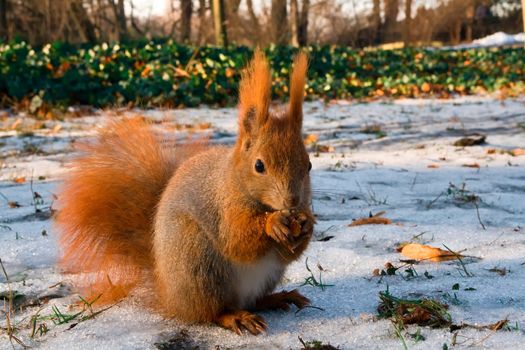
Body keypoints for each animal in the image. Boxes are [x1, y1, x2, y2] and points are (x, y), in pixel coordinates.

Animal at [55, 50, 314, 334]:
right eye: (259, 166)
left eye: (309, 165)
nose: (293, 200)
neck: (235, 180)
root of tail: (167, 293)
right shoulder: (222, 205)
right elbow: (236, 239)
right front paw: (273, 222)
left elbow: (289, 253)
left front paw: (307, 224)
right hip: (198, 264)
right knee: (212, 311)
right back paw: (236, 316)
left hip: (261, 275)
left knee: (254, 301)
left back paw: (278, 298)